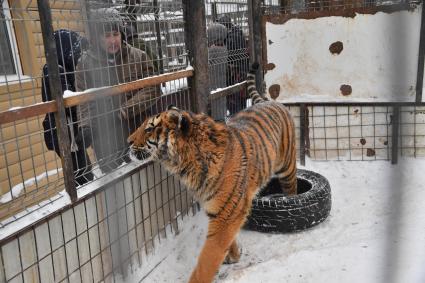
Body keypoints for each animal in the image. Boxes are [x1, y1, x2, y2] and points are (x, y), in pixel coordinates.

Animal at [127, 62, 296, 283]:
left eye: (149, 128)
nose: (128, 141)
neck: (185, 165)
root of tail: (269, 102)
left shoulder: (225, 216)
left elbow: (206, 260)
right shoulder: (217, 208)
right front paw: (234, 255)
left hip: (287, 168)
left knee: (293, 191)